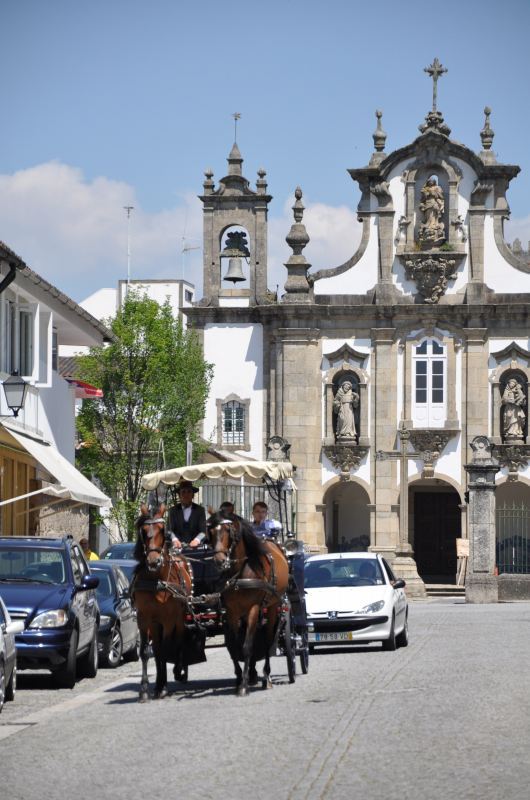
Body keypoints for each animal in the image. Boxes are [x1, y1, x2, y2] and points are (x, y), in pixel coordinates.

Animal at [132, 504, 192, 704]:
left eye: (161, 530)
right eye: (143, 531)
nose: (153, 561)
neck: (156, 580)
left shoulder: (168, 619)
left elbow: (166, 650)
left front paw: (164, 687)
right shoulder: (143, 619)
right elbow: (146, 652)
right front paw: (145, 689)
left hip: (179, 617)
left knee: (178, 639)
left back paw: (178, 672)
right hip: (155, 623)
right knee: (157, 650)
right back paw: (159, 683)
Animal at [207, 516, 288, 696]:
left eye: (228, 531)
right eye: (211, 532)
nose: (219, 560)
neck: (241, 574)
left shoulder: (253, 608)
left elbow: (247, 646)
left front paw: (243, 685)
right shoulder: (232, 612)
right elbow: (235, 647)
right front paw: (239, 679)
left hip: (273, 606)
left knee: (267, 639)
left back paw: (266, 677)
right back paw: (252, 674)